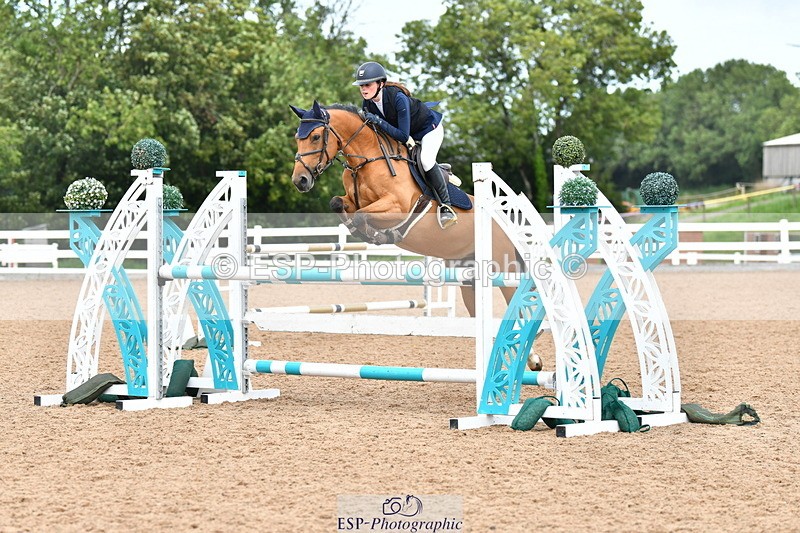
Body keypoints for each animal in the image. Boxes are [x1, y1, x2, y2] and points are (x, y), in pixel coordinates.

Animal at [289, 101, 541, 370]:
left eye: (315, 137)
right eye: (297, 138)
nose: (300, 181)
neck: (365, 161)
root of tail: (504, 223)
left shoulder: (397, 207)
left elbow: (362, 216)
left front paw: (379, 235)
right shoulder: (351, 200)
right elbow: (338, 204)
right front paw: (364, 232)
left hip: (504, 269)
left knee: (518, 304)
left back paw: (533, 359)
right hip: (468, 277)